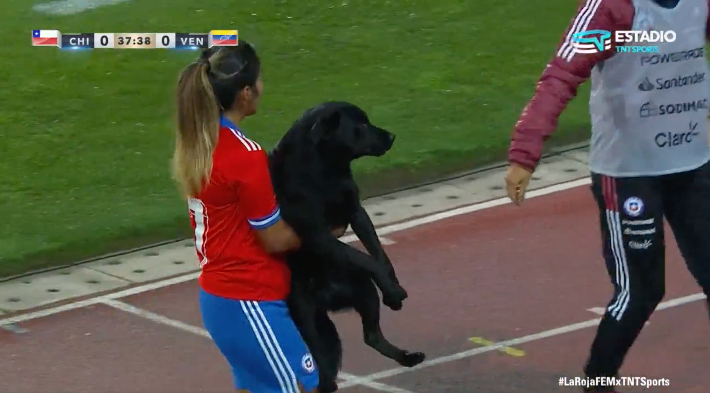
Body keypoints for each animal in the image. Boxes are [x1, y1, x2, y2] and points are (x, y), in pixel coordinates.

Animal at [272, 102, 428, 392]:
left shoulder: (356, 211)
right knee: (317, 362)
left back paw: (407, 357)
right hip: (308, 320)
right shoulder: (318, 234)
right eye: (362, 124)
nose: (392, 137)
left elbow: (377, 251)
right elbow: (366, 258)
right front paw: (392, 288)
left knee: (371, 336)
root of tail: (326, 296)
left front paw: (393, 287)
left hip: (362, 289)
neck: (325, 169)